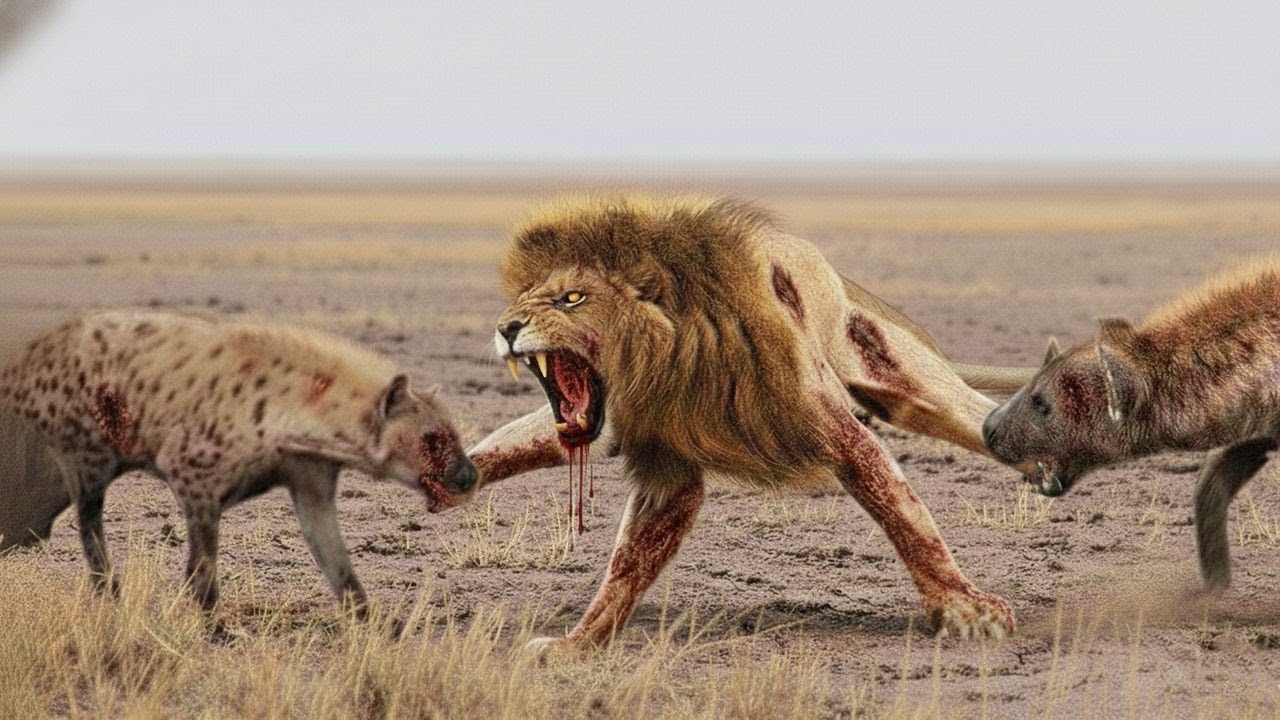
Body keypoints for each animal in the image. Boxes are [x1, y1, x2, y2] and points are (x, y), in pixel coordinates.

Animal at [469, 196, 1034, 652]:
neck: (671, 360)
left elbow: (902, 510)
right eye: (524, 299)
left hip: (882, 360)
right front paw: (577, 645)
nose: (506, 326)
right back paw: (454, 471)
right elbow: (628, 563)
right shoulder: (660, 456)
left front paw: (964, 609)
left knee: (980, 422)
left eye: (572, 298)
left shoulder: (825, 420)